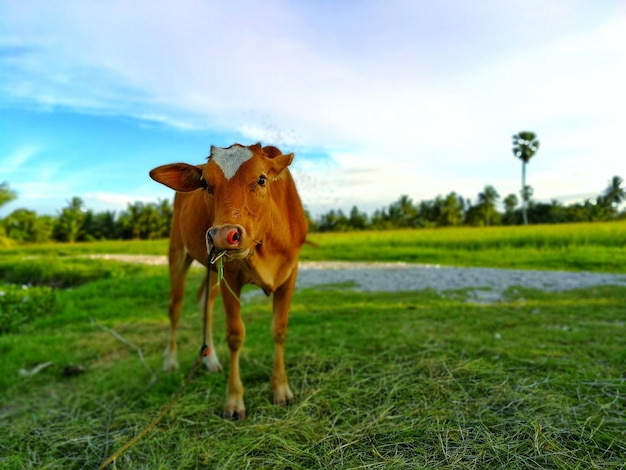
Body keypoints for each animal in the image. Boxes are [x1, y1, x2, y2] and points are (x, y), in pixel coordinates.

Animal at [151, 143, 308, 418]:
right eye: (205, 183)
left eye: (261, 179)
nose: (223, 236)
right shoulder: (231, 277)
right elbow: (235, 335)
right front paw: (234, 401)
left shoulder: (290, 273)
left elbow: (279, 330)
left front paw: (281, 389)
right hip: (178, 251)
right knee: (175, 306)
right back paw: (170, 360)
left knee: (204, 301)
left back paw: (210, 359)